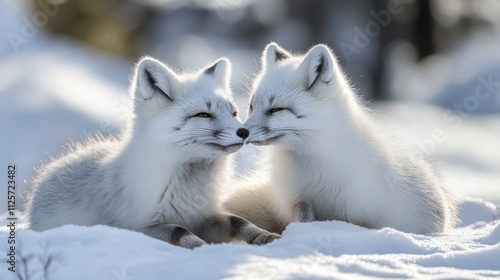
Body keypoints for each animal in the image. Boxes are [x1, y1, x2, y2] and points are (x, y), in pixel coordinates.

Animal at [28, 55, 282, 248]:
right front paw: (200, 247)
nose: (244, 132)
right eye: (203, 115)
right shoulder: (135, 226)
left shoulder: (204, 215)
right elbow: (179, 230)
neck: (185, 190)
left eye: (233, 113)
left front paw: (263, 235)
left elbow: (239, 221)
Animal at [225, 42, 458, 234]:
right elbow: (303, 222)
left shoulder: (350, 211)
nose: (243, 132)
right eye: (252, 106)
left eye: (277, 109)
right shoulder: (299, 199)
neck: (313, 163)